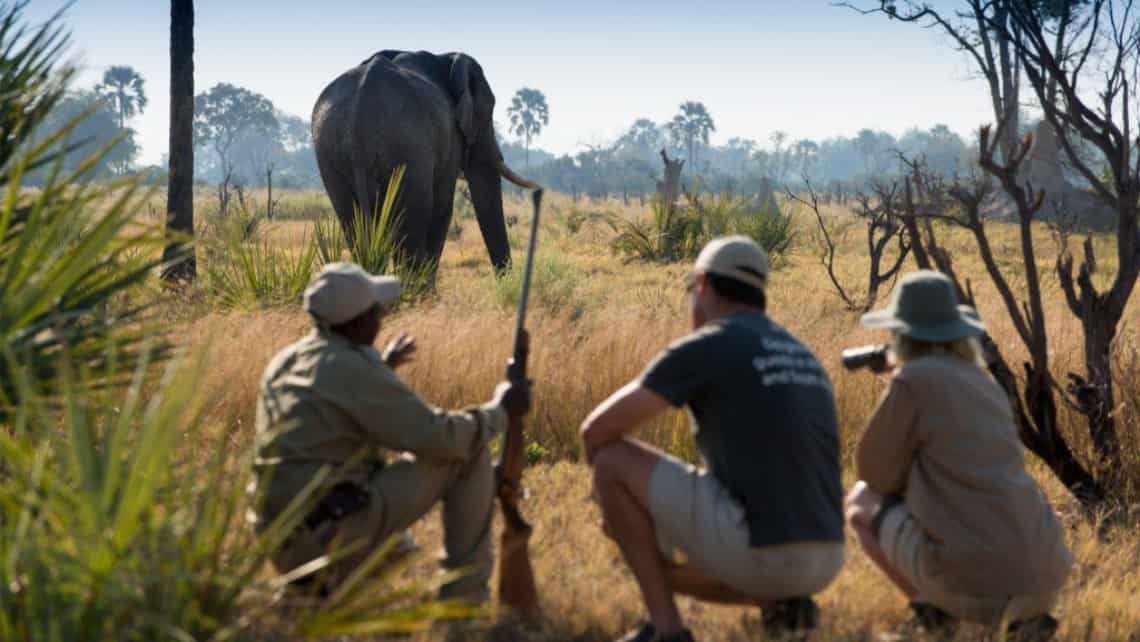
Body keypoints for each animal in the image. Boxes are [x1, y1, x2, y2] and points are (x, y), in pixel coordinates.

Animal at [312, 49, 538, 271]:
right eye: (488, 112)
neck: (445, 57)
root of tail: (359, 110)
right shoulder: (450, 135)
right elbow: (443, 207)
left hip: (330, 151)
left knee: (351, 219)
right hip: (408, 147)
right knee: (416, 217)